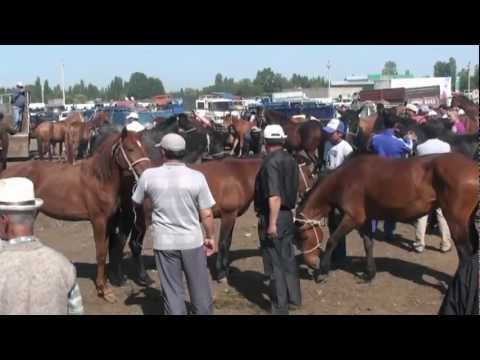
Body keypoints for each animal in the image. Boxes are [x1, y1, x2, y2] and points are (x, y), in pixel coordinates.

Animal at [0, 128, 150, 302]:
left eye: (144, 147)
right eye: (130, 149)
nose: (147, 170)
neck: (99, 179)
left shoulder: (109, 223)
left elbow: (105, 250)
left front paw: (105, 288)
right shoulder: (98, 221)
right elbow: (100, 253)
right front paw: (103, 290)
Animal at [294, 153, 478, 286]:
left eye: (303, 237)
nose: (311, 263)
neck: (344, 179)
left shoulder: (353, 217)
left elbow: (332, 240)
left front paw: (323, 272)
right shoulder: (365, 219)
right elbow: (368, 244)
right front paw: (369, 274)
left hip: (456, 221)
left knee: (465, 254)